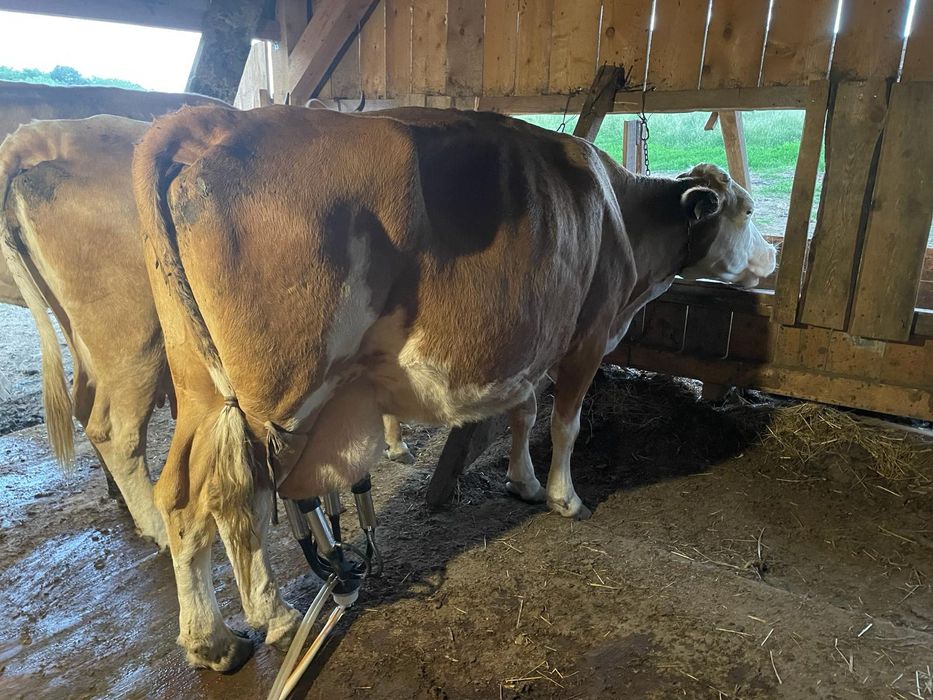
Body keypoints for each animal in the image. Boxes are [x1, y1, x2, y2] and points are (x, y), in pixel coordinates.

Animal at [132, 104, 775, 670]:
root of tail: (217, 122)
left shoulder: (534, 339)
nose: (770, 257)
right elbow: (564, 421)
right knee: (235, 496)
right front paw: (565, 497)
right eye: (743, 211)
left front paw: (522, 481)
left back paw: (212, 641)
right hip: (275, 395)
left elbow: (524, 410)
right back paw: (277, 617)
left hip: (203, 387)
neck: (624, 221)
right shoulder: (587, 334)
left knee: (182, 497)